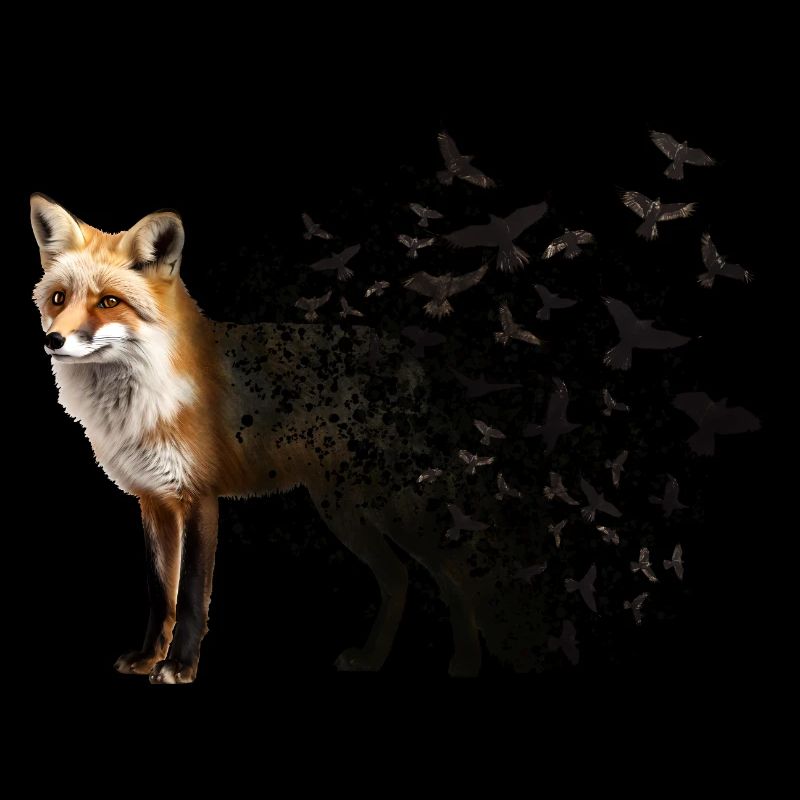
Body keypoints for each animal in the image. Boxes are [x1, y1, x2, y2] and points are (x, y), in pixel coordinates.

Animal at [31, 194, 545, 683]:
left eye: (109, 302)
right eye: (58, 298)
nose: (53, 341)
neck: (142, 400)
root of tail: (408, 356)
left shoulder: (199, 498)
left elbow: (193, 597)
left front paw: (179, 667)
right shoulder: (154, 500)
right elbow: (162, 595)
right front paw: (147, 658)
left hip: (401, 507)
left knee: (453, 577)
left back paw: (466, 662)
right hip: (343, 509)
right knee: (398, 578)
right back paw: (372, 658)